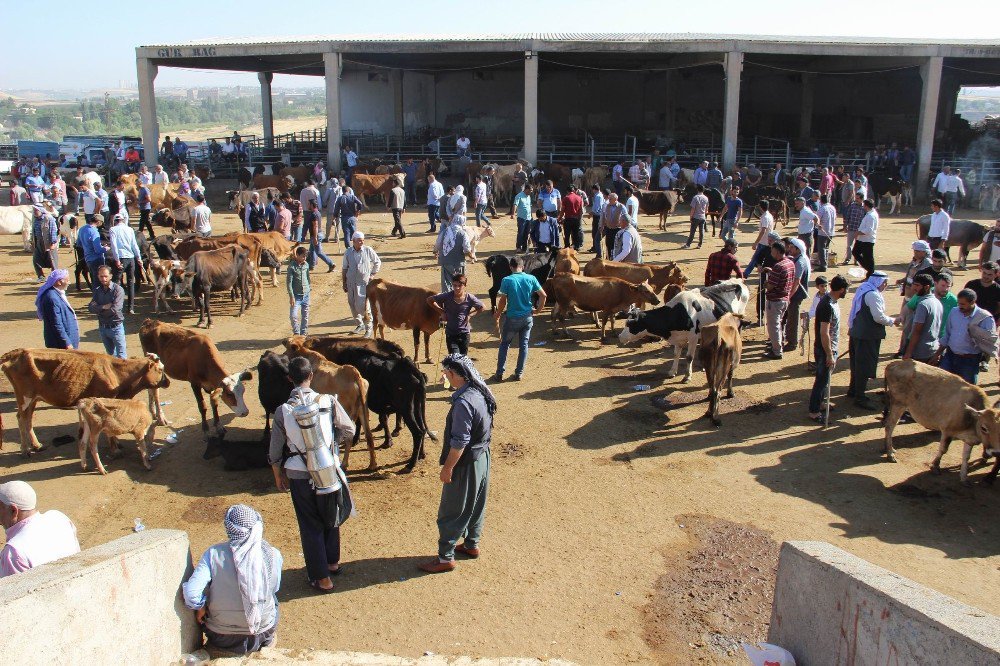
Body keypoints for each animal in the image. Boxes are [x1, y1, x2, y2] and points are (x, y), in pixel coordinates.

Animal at [0, 348, 170, 456]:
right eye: (160, 369)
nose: (168, 382)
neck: (115, 370)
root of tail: (14, 353)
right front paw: (115, 449)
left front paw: (117, 443)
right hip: (25, 397)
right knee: (21, 418)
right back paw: (25, 450)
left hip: (34, 398)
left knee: (27, 418)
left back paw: (36, 445)